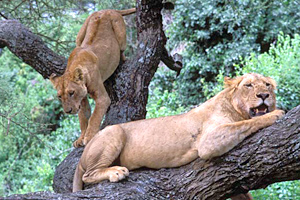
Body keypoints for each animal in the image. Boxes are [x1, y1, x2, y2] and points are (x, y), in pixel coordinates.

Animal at [51, 8, 135, 147]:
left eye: (71, 92)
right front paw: (80, 138)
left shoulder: (102, 98)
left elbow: (94, 117)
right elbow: (83, 119)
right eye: (59, 96)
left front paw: (89, 137)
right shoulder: (81, 100)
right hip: (79, 36)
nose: (68, 111)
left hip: (120, 34)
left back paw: (123, 60)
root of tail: (108, 9)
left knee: (122, 49)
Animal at [72, 72, 284, 198]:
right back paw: (116, 172)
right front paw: (276, 114)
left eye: (267, 84)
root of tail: (82, 156)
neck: (234, 108)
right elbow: (247, 123)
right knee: (89, 175)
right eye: (249, 85)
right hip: (113, 131)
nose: (264, 95)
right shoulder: (208, 142)